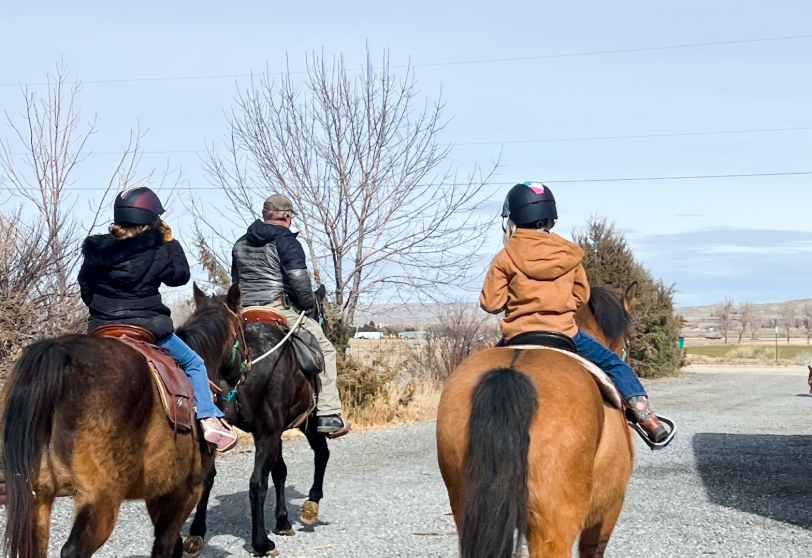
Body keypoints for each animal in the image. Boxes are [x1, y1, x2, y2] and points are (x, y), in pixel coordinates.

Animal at [2, 284, 249, 558]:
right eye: (243, 328)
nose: (245, 371)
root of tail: (60, 352)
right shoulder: (186, 490)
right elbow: (165, 545)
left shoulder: (158, 492)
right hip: (100, 500)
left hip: (38, 497)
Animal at [184, 285, 331, 558]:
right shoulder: (295, 426)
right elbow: (318, 456)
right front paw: (308, 505)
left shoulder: (275, 431)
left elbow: (279, 471)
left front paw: (282, 521)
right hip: (276, 432)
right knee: (257, 483)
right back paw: (262, 542)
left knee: (208, 478)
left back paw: (196, 534)